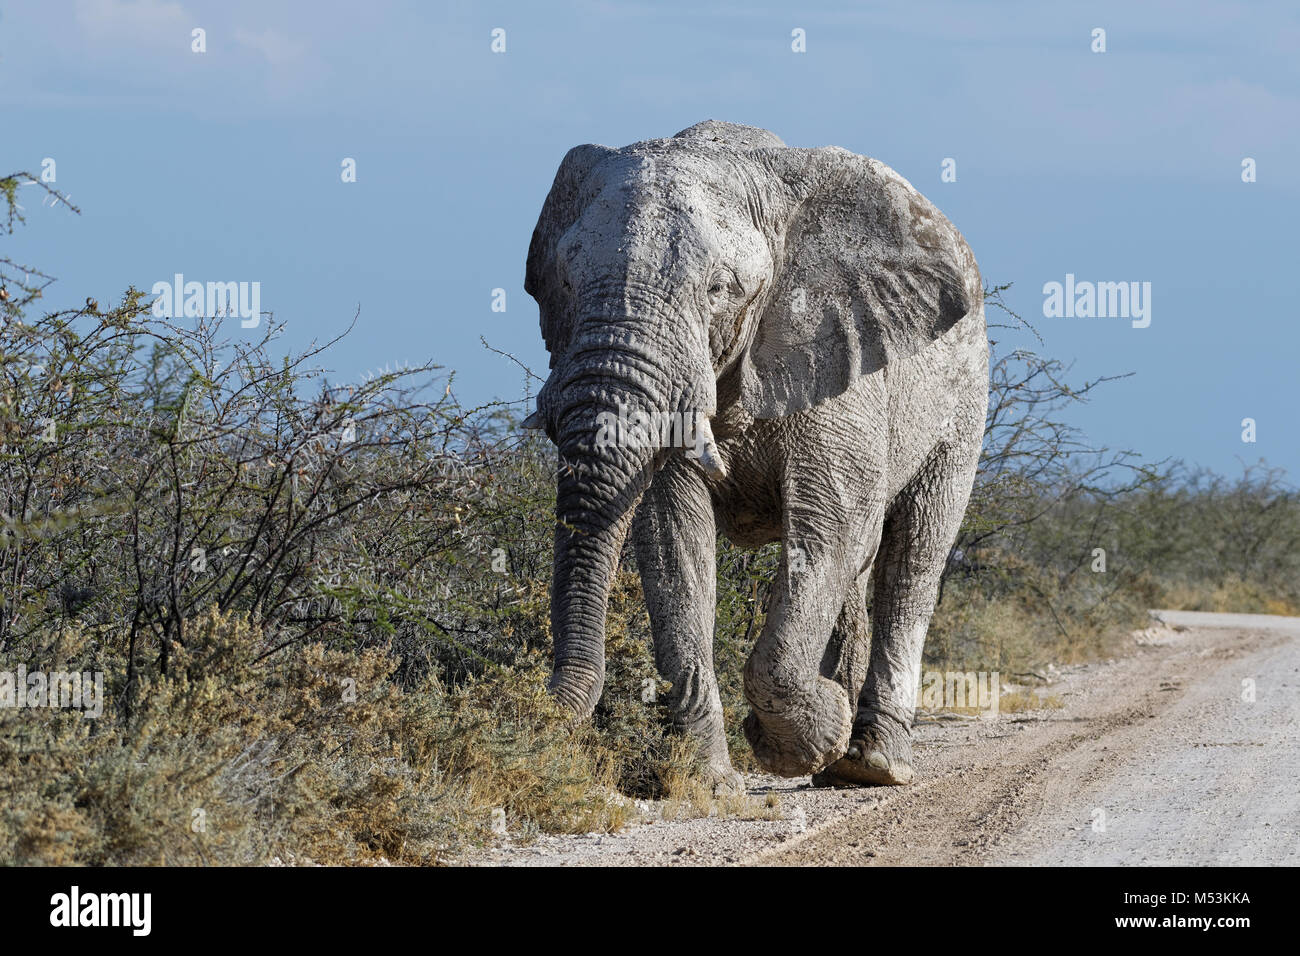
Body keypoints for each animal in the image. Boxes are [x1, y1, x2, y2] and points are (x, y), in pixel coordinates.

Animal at [517, 119, 982, 790]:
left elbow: (833, 524)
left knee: (912, 554)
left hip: (964, 400)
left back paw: (872, 764)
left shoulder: (840, 358)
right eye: (566, 284)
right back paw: (840, 758)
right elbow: (674, 543)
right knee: (862, 562)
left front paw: (795, 743)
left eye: (720, 289)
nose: (541, 710)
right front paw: (709, 782)